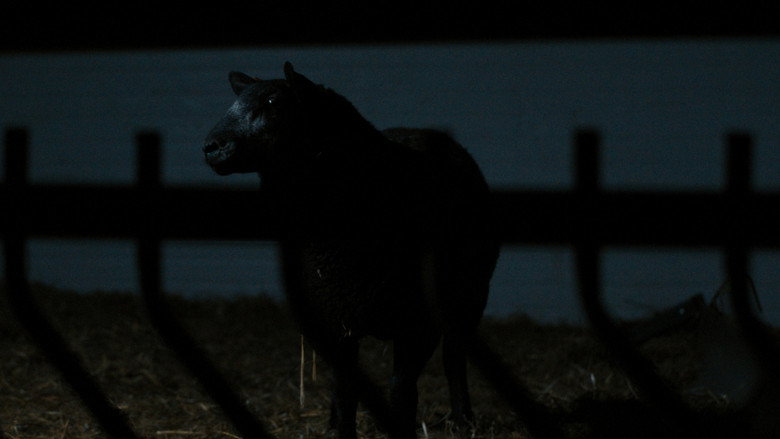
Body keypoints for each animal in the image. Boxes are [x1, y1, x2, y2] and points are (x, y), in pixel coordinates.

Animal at [203, 62, 499, 439]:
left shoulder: (418, 321)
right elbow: (345, 387)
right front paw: (341, 427)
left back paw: (463, 419)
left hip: (472, 295)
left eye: (273, 101)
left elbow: (403, 388)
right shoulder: (333, 317)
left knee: (454, 357)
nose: (210, 147)